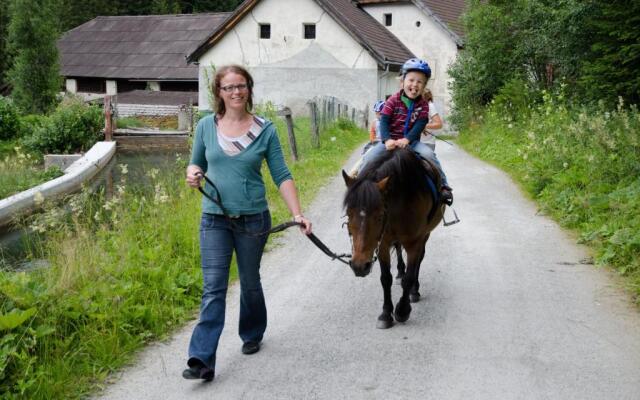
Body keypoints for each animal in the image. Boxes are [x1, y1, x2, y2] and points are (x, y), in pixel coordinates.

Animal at [342, 148, 442, 328]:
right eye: (348, 213)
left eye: (380, 216)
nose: (359, 266)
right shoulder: (382, 244)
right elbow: (385, 278)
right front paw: (385, 314)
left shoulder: (415, 242)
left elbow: (410, 276)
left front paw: (402, 310)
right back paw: (400, 272)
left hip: (425, 235)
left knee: (419, 261)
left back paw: (414, 291)